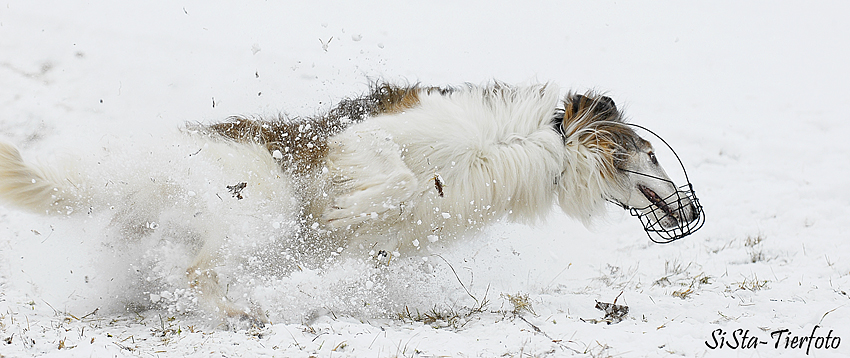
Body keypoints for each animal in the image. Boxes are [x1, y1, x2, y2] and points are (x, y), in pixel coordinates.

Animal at [0, 82, 704, 326]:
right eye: (653, 155)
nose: (689, 210)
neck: (539, 145)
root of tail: (146, 172)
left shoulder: (402, 241)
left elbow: (387, 240)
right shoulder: (373, 139)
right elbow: (398, 181)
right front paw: (344, 210)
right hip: (259, 210)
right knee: (201, 271)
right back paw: (243, 312)